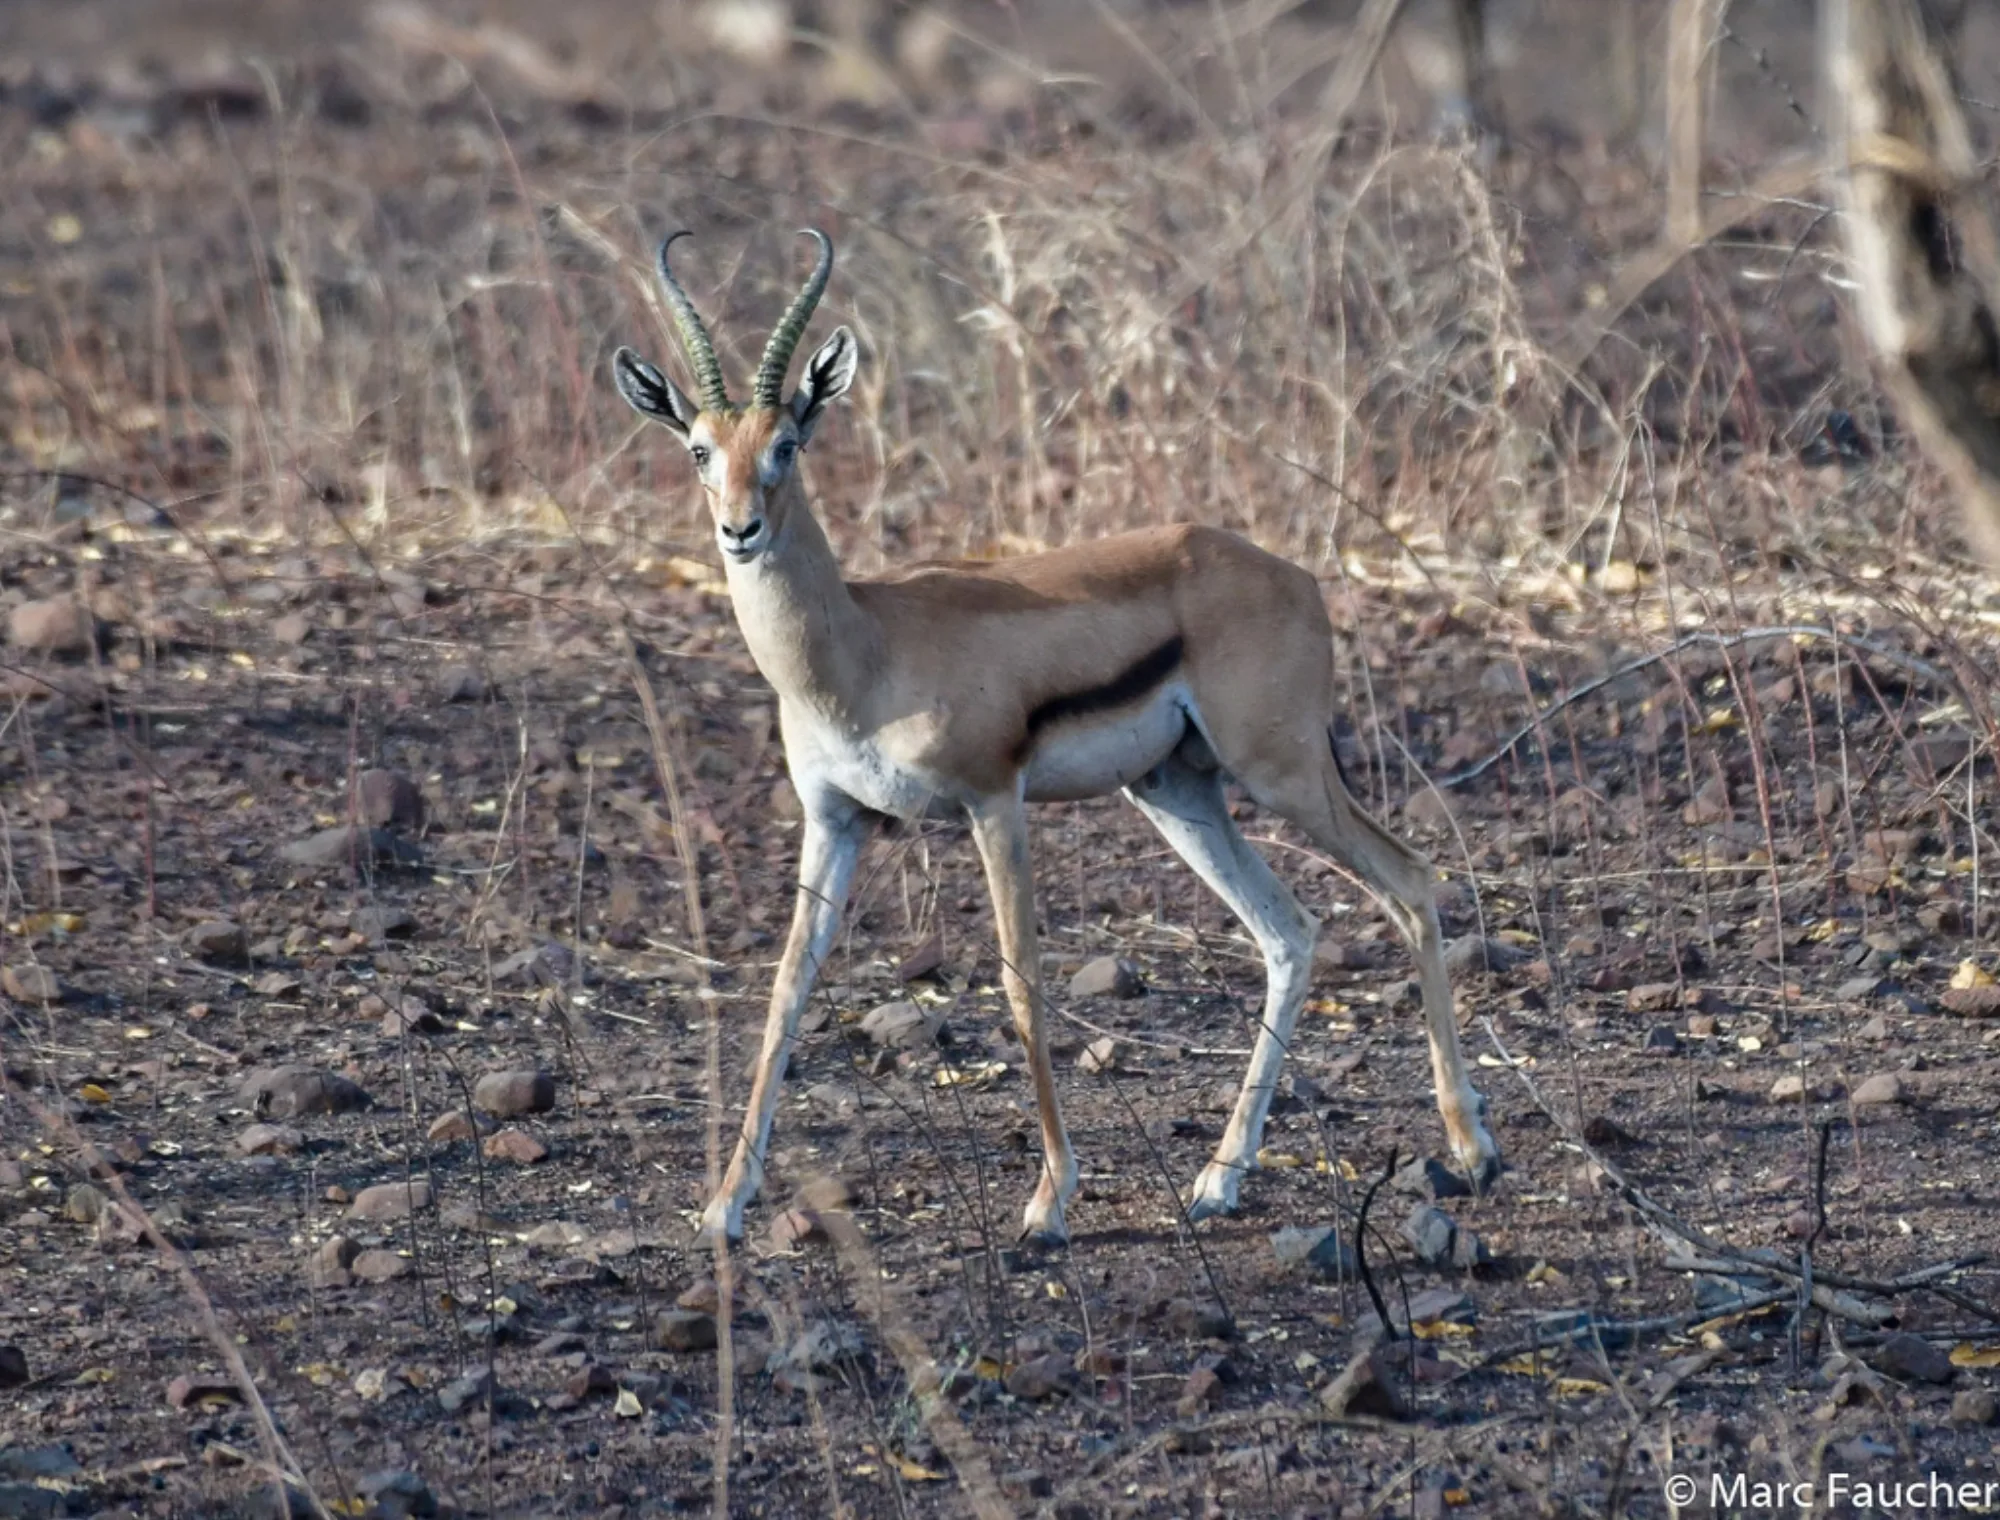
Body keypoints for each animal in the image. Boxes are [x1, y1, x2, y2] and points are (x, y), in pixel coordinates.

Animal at [613, 228, 1500, 1245]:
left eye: (787, 444)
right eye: (698, 449)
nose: (741, 530)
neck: (862, 649)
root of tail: (1295, 575)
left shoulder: (993, 800)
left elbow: (1020, 984)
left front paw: (1048, 1202)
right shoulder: (836, 820)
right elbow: (785, 990)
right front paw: (724, 1205)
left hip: (1281, 771)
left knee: (1410, 882)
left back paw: (1472, 1148)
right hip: (1177, 793)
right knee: (1290, 932)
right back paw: (1218, 1180)